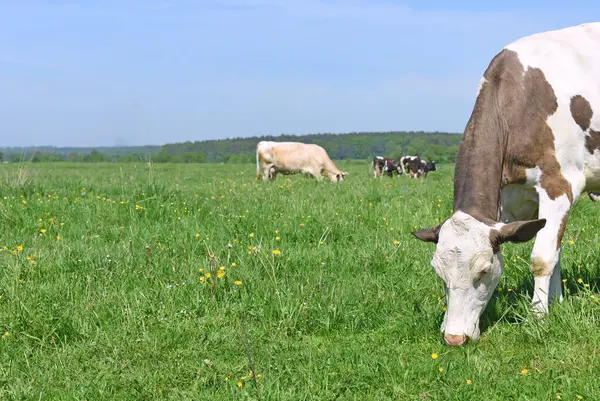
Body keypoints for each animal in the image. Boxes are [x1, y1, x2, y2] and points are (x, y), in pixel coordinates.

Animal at [412, 23, 600, 346]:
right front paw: (556, 302)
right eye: (439, 273)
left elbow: (542, 257)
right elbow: (556, 251)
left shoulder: (558, 185)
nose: (454, 338)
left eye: (484, 271)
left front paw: (538, 316)